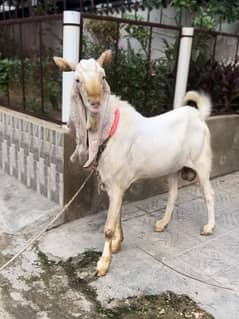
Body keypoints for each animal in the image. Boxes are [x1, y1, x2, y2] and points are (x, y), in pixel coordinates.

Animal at [54, 50, 215, 278]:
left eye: (103, 76)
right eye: (77, 79)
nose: (94, 102)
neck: (108, 129)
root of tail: (198, 115)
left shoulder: (116, 185)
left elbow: (108, 226)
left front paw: (103, 263)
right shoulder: (115, 185)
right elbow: (118, 215)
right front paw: (117, 245)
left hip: (201, 164)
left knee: (208, 194)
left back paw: (209, 227)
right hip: (174, 168)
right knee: (173, 194)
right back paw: (162, 223)